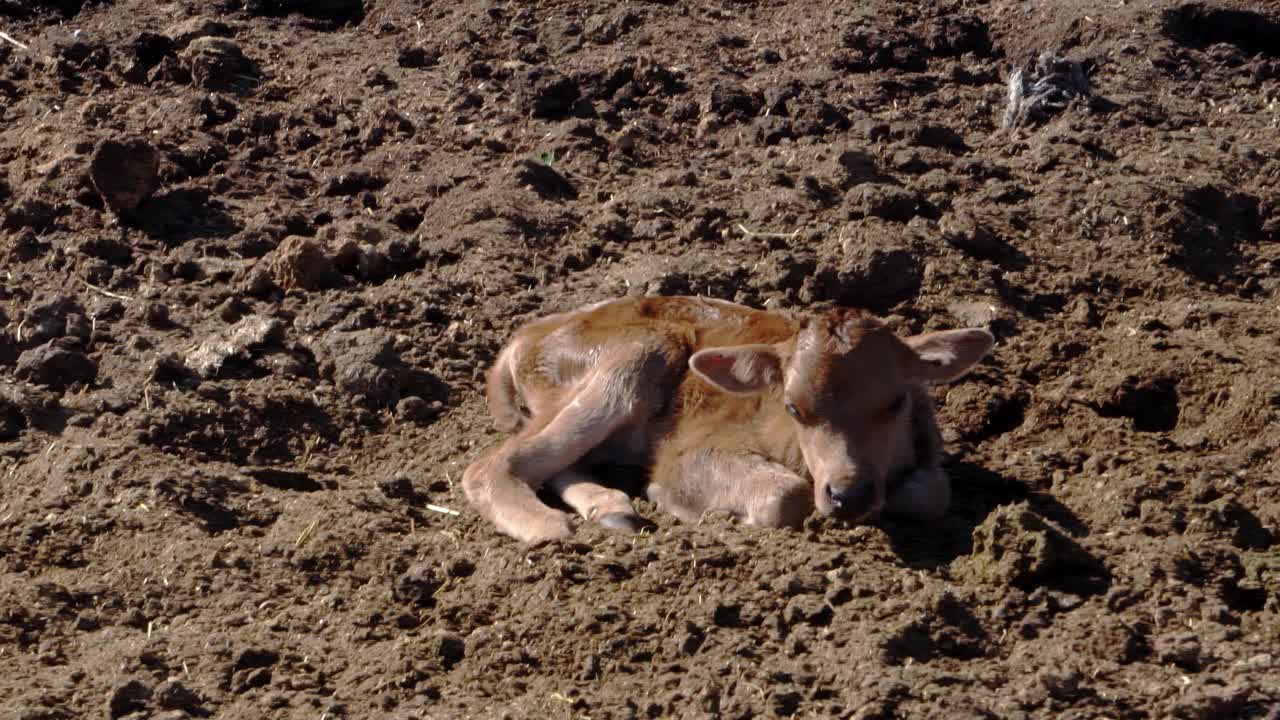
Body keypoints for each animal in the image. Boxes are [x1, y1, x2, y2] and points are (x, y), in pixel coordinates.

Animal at [465, 294, 993, 540]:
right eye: (792, 407)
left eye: (896, 402)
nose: (848, 494)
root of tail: (525, 336)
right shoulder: (688, 450)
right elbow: (787, 495)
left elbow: (931, 493)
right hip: (639, 351)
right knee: (489, 466)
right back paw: (548, 528)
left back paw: (612, 507)